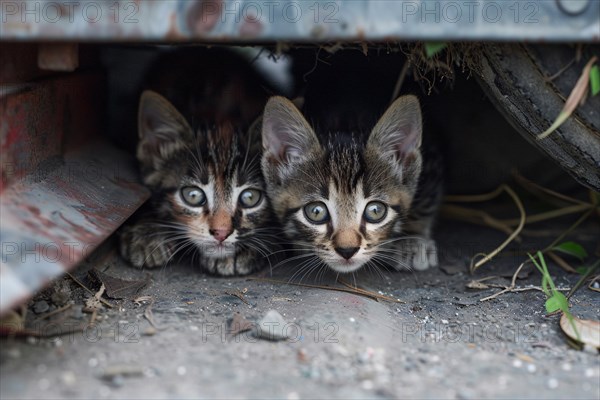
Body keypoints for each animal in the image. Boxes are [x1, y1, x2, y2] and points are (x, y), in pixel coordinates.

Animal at [260, 95, 442, 274]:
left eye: (376, 211)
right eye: (316, 211)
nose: (347, 250)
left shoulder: (432, 163)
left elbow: (425, 202)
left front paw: (411, 242)